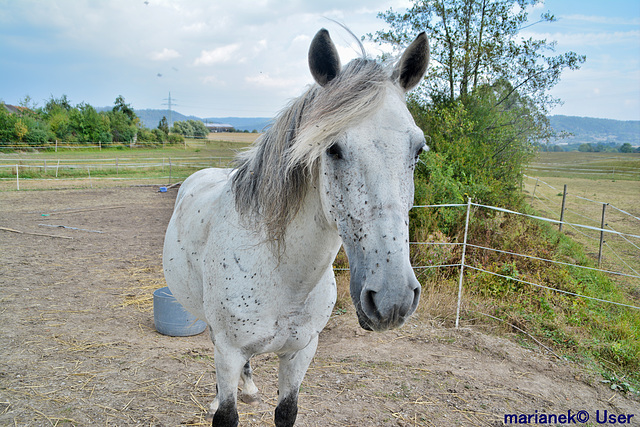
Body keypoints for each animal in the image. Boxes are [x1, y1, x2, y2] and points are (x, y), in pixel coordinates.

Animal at [162, 28, 428, 426]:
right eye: (332, 148)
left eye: (418, 150)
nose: (392, 299)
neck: (283, 277)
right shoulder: (228, 351)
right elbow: (226, 412)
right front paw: (220, 400)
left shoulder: (301, 353)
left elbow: (286, 411)